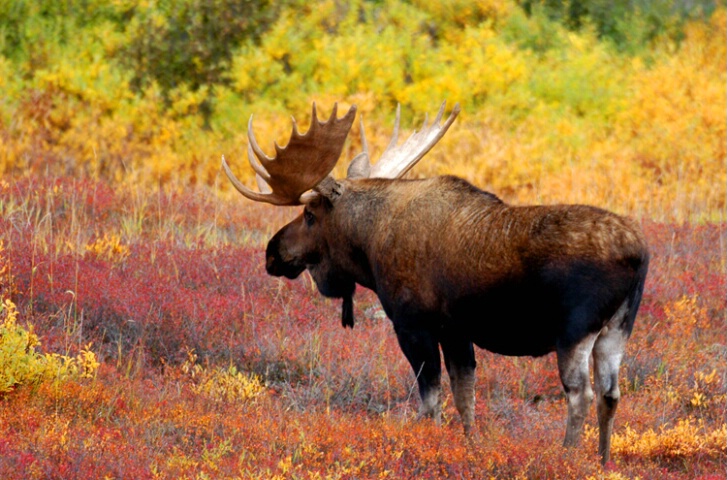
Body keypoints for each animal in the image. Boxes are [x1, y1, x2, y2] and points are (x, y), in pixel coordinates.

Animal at [222, 102, 648, 464]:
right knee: (610, 394)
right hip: (617, 329)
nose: (272, 252)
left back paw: (566, 457)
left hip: (575, 330)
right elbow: (465, 397)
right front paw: (470, 447)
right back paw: (603, 461)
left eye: (310, 214)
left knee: (580, 394)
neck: (368, 247)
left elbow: (430, 402)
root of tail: (639, 253)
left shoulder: (414, 325)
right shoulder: (456, 332)